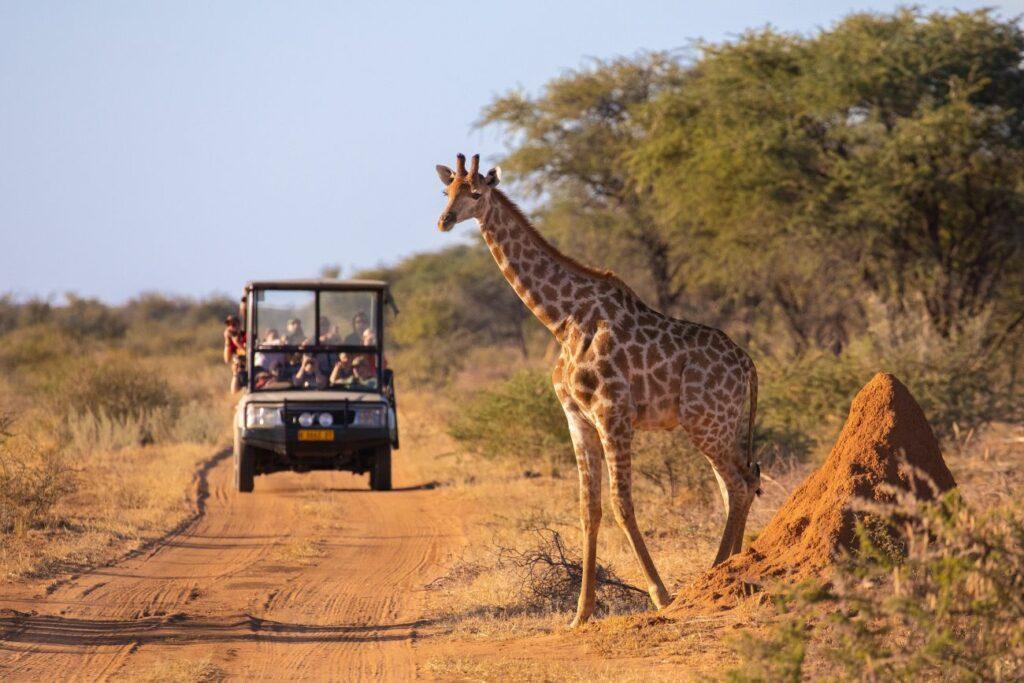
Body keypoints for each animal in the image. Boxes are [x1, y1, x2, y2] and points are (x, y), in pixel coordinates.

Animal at [435, 153, 761, 626]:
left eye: (475, 193)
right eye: (447, 191)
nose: (443, 220)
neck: (562, 320)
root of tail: (749, 365)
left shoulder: (613, 413)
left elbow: (622, 504)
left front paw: (661, 595)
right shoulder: (577, 418)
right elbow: (589, 510)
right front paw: (581, 613)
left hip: (705, 423)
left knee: (737, 484)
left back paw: (715, 573)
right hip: (722, 424)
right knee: (741, 482)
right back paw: (732, 567)